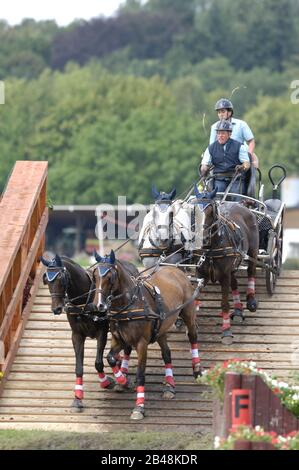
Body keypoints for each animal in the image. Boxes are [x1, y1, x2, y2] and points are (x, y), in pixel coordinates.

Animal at [40, 253, 136, 412]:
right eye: (46, 279)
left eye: (61, 278)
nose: (56, 308)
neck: (84, 301)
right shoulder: (77, 335)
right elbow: (79, 367)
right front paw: (78, 398)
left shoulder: (102, 333)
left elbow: (98, 362)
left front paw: (106, 382)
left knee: (127, 347)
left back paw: (123, 375)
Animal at [92, 250, 203, 422]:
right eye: (95, 276)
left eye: (110, 277)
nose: (99, 305)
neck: (129, 304)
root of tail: (176, 270)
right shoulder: (119, 339)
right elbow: (110, 358)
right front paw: (124, 381)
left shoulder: (141, 343)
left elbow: (140, 374)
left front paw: (139, 407)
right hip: (161, 328)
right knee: (167, 353)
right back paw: (169, 386)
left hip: (188, 313)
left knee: (192, 337)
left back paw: (197, 369)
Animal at [192, 185, 260, 344]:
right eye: (193, 210)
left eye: (211, 211)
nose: (201, 237)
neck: (210, 248)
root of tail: (241, 204)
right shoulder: (201, 274)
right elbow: (195, 298)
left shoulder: (223, 275)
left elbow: (224, 303)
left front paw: (227, 331)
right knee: (234, 282)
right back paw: (238, 309)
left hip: (253, 251)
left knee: (251, 271)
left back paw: (251, 300)